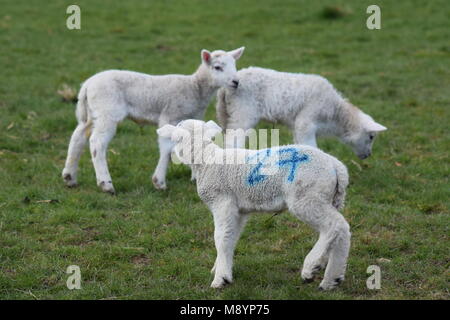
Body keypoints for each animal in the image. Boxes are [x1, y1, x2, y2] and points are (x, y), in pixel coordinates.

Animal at [61, 46, 244, 194]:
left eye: (235, 66)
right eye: (217, 67)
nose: (236, 82)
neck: (196, 88)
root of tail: (87, 85)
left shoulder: (192, 119)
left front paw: (195, 175)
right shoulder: (170, 116)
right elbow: (167, 149)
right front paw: (159, 182)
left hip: (91, 114)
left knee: (78, 136)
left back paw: (69, 177)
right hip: (107, 111)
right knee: (96, 143)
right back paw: (106, 184)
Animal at [157, 119, 352, 290]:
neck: (206, 160)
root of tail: (336, 165)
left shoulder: (222, 201)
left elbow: (220, 237)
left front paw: (220, 279)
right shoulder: (239, 210)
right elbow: (231, 238)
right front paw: (222, 268)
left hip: (306, 197)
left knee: (335, 225)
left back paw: (311, 267)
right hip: (325, 198)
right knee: (342, 232)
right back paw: (332, 279)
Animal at [216, 66, 384, 159]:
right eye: (371, 136)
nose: (368, 155)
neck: (336, 114)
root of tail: (226, 86)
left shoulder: (298, 126)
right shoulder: (306, 122)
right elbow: (311, 145)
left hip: (227, 113)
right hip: (244, 112)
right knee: (233, 140)